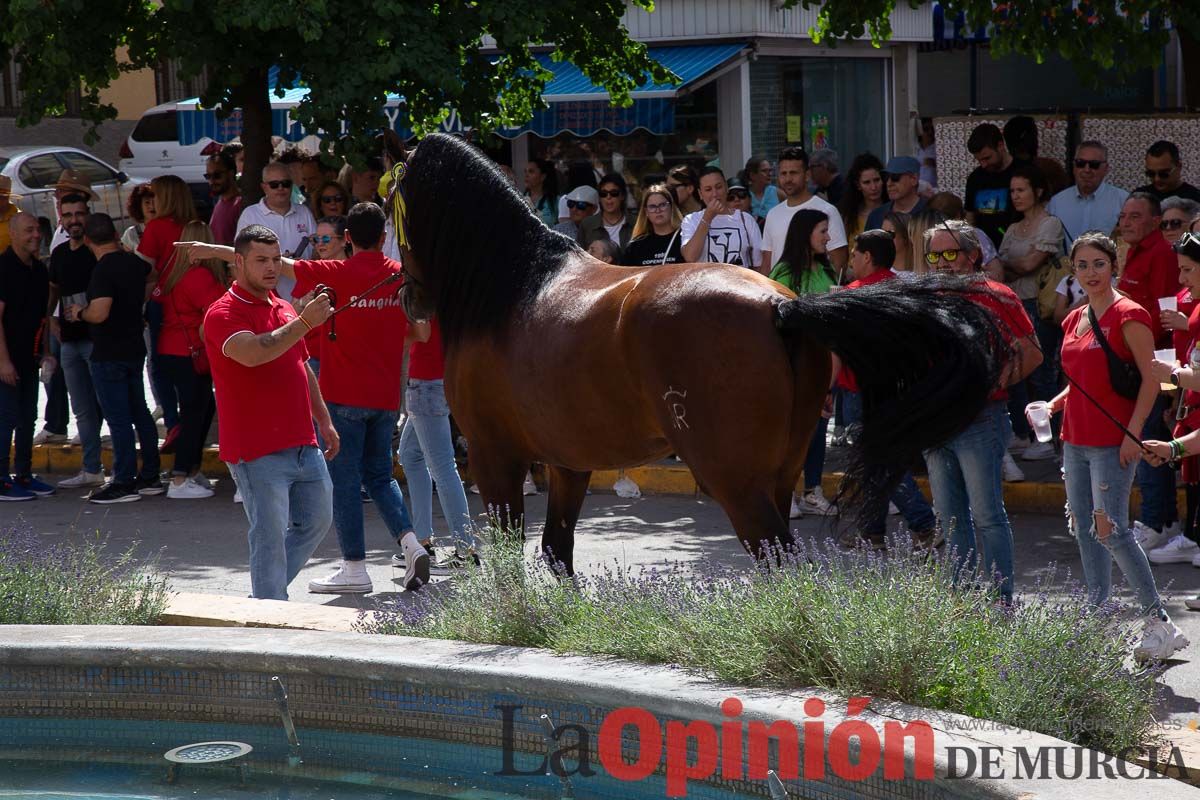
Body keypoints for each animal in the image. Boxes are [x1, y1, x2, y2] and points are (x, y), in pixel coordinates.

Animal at [398, 136, 1008, 575]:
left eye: (395, 200)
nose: (410, 299)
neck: (514, 287)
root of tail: (780, 305)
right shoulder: (568, 463)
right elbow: (556, 551)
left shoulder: (493, 455)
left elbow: (510, 559)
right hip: (778, 472)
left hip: (731, 479)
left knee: (777, 557)